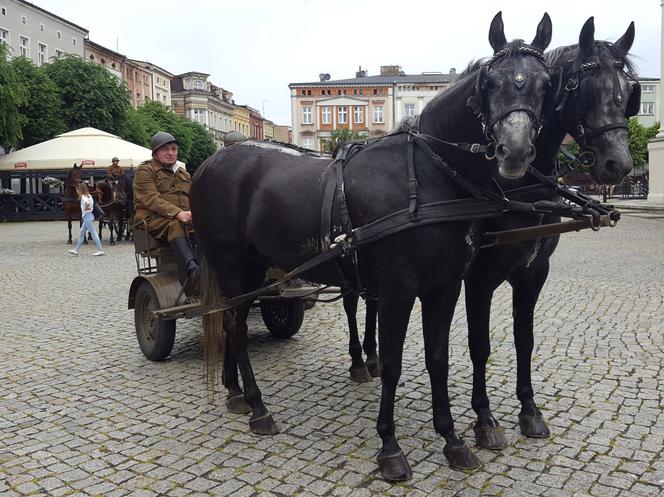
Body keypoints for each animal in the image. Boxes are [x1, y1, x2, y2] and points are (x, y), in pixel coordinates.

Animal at [462, 19, 640, 450]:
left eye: (629, 92)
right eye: (587, 88)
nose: (620, 165)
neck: (521, 191)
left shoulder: (533, 274)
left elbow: (524, 340)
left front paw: (529, 410)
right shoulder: (479, 279)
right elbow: (480, 345)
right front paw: (484, 418)